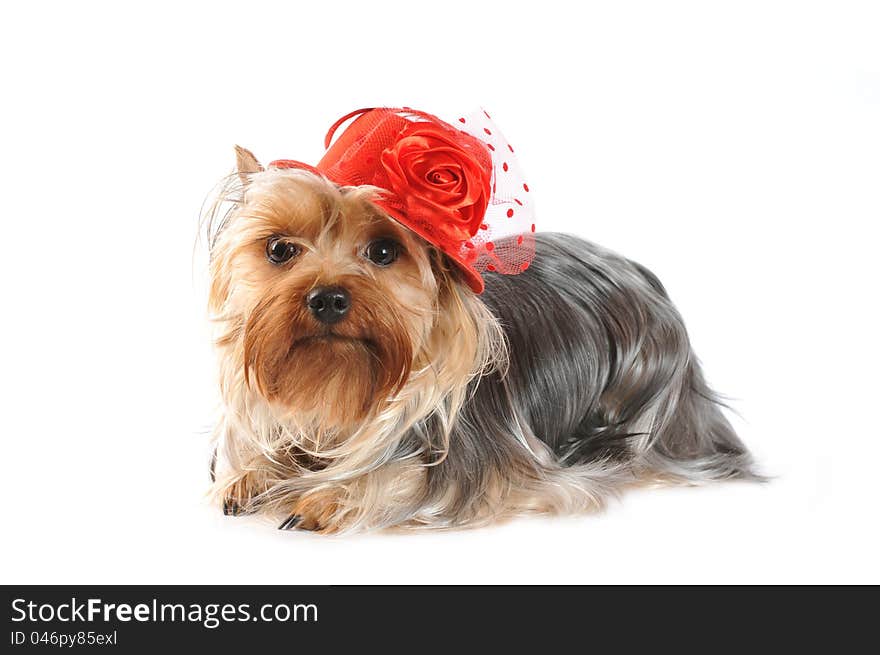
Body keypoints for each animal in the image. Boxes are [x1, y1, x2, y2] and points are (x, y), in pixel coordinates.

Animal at [205, 107, 756, 536]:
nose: (327, 299)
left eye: (383, 250)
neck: (339, 385)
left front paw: (331, 495)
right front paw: (252, 475)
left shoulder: (493, 470)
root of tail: (643, 274)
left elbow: (412, 478)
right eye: (279, 249)